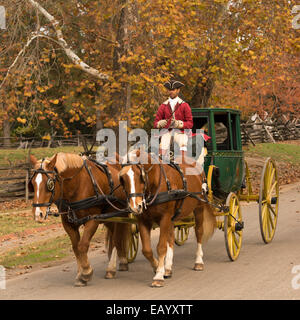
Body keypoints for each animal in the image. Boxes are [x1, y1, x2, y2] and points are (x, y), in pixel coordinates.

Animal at [29, 153, 130, 288]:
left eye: (49, 184)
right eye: (32, 183)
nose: (38, 214)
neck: (77, 185)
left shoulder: (93, 219)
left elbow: (83, 245)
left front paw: (86, 272)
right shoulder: (68, 223)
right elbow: (76, 248)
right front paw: (80, 274)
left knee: (115, 239)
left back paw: (112, 268)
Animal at [119, 150, 216, 288]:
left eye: (140, 176)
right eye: (122, 178)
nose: (135, 206)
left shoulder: (165, 218)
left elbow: (161, 247)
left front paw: (158, 275)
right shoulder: (143, 220)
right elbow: (147, 250)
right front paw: (157, 267)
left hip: (199, 208)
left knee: (199, 232)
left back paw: (198, 261)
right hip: (172, 217)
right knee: (170, 238)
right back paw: (168, 268)